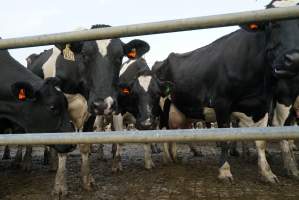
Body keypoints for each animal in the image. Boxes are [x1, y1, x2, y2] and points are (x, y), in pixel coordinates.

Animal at [27, 24, 150, 191]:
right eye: (84, 55)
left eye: (120, 57)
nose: (104, 104)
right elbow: (62, 144)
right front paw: (60, 185)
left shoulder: (91, 113)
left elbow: (85, 144)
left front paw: (87, 179)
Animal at [154, 0, 299, 184]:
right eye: (272, 23)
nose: (294, 58)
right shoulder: (221, 102)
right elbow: (224, 136)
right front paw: (224, 171)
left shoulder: (263, 105)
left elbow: (261, 141)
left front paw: (267, 173)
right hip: (164, 105)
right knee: (163, 130)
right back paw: (167, 158)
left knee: (175, 131)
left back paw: (175, 157)